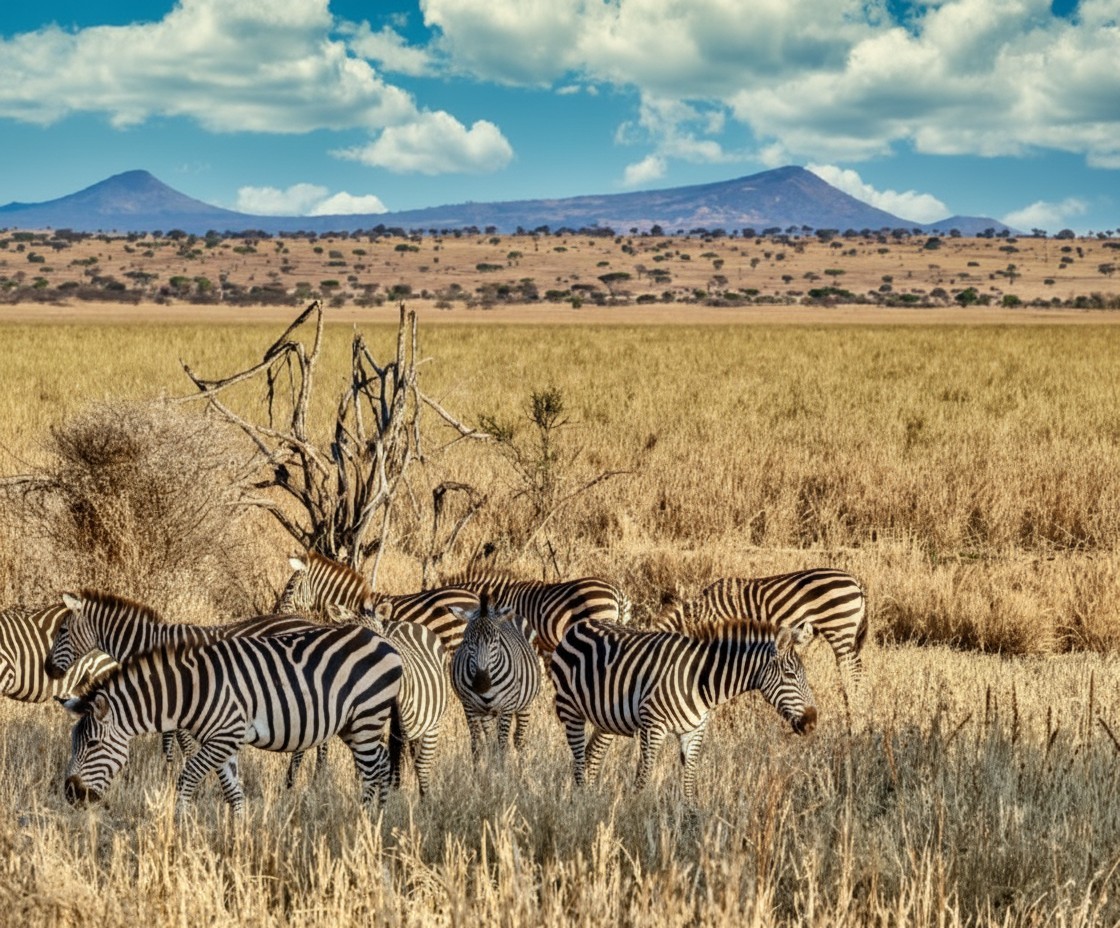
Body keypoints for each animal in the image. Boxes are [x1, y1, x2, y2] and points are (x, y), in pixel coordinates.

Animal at [59, 624, 402, 812]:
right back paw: (377, 820)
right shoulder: (223, 743)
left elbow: (187, 778)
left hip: (367, 718)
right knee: (383, 762)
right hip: (354, 726)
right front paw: (239, 838)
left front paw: (180, 827)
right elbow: (233, 792)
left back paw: (363, 823)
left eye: (92, 744)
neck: (192, 690)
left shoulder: (225, 736)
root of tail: (385, 642)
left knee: (372, 771)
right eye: (75, 743)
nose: (71, 794)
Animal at [450, 594, 541, 759]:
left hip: (525, 704)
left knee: (518, 739)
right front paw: (480, 767)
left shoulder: (507, 706)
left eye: (496, 641)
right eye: (466, 641)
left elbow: (502, 746)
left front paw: (501, 766)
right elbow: (477, 746)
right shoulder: (469, 706)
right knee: (491, 742)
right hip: (487, 713)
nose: (481, 683)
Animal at [549, 617, 817, 800]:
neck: (700, 681)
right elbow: (644, 776)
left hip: (607, 718)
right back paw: (581, 802)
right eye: (790, 675)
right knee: (579, 759)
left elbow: (689, 781)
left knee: (592, 755)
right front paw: (635, 811)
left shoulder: (695, 731)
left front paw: (691, 819)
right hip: (571, 711)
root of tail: (581, 623)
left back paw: (592, 799)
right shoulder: (653, 726)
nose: (812, 722)